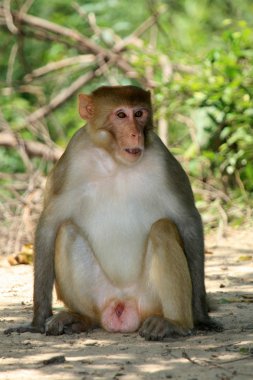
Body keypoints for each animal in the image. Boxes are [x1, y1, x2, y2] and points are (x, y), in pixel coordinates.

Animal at [4, 87, 221, 342]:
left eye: (139, 113)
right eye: (121, 115)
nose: (135, 134)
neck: (115, 160)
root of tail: (122, 307)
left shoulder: (163, 158)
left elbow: (188, 221)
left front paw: (201, 317)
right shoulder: (71, 159)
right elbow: (50, 224)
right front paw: (36, 323)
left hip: (149, 301)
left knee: (163, 229)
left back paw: (175, 323)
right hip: (101, 297)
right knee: (66, 231)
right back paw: (80, 318)